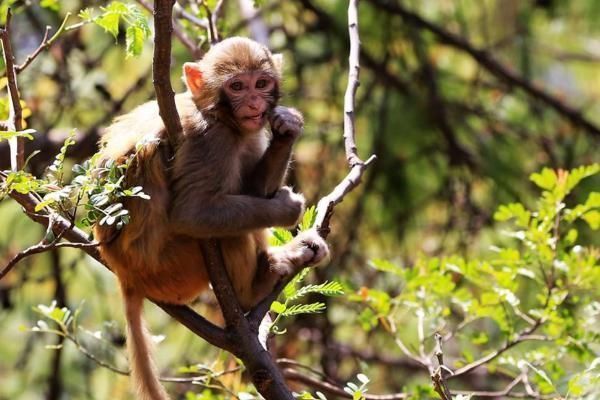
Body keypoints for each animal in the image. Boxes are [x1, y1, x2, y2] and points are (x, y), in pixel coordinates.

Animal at [94, 36, 330, 398]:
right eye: (237, 86)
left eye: (261, 84)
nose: (253, 103)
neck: (221, 115)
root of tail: (125, 274)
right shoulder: (209, 140)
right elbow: (192, 214)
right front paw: (287, 209)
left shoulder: (246, 133)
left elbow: (253, 187)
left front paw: (287, 130)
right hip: (175, 270)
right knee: (226, 231)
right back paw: (254, 290)